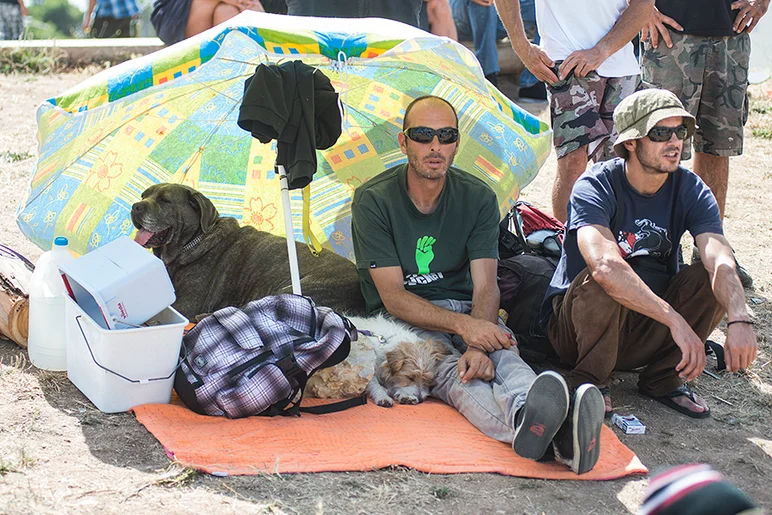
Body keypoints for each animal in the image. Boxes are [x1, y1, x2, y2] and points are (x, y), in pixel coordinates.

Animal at [130, 183, 364, 320]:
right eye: (144, 195)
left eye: (165, 200)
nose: (135, 206)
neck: (192, 242)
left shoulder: (186, 303)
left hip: (290, 291)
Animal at [306, 314, 456, 408]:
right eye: (410, 377)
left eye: (428, 379)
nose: (420, 399)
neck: (385, 342)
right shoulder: (364, 374)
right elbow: (376, 385)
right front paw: (383, 397)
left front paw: (404, 395)